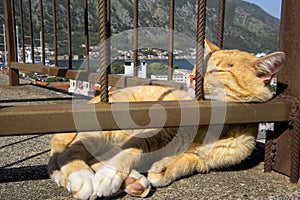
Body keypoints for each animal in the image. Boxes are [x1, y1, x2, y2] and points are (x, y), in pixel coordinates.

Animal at [48, 39, 284, 200]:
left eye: (217, 70)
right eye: (198, 67)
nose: (192, 76)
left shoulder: (204, 161)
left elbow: (188, 161)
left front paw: (163, 169)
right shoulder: (154, 135)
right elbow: (130, 151)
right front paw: (110, 175)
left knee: (91, 157)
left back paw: (133, 181)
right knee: (69, 154)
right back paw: (84, 178)